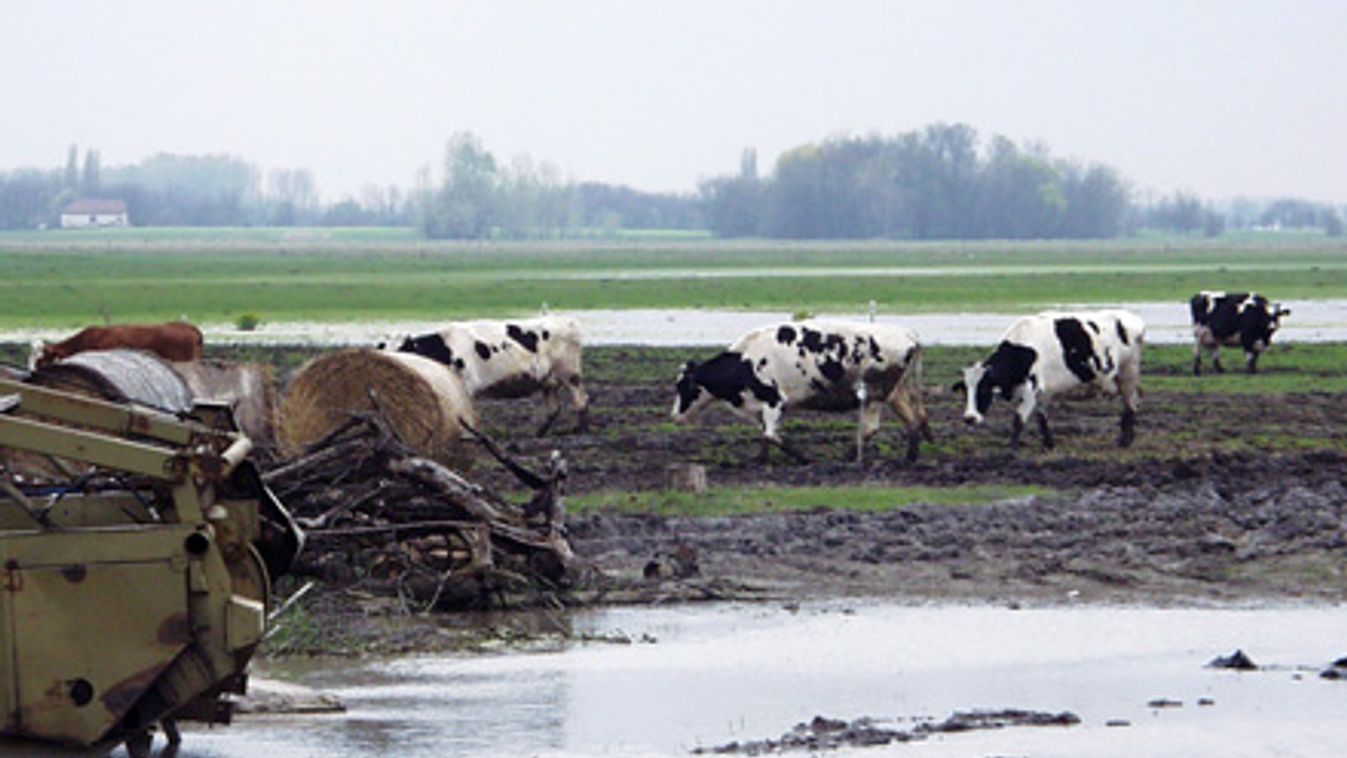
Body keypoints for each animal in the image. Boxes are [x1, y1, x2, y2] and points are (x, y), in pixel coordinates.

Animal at [382, 315, 587, 433]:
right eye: (383, 349)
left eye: (403, 349)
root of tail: (567, 321)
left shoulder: (466, 386)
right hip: (547, 380)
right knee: (554, 409)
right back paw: (539, 434)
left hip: (570, 373)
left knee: (580, 400)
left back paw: (579, 430)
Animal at [668, 319, 932, 465]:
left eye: (681, 386)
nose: (674, 416)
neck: (745, 361)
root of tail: (908, 334)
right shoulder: (761, 407)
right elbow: (765, 435)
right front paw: (759, 460)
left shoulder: (774, 400)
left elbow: (771, 435)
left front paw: (804, 458)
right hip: (895, 393)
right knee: (912, 420)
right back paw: (909, 458)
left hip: (875, 394)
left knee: (870, 428)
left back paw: (848, 456)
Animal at [953, 309, 1142, 449]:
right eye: (965, 391)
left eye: (984, 388)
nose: (969, 418)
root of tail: (1131, 316)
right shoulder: (1043, 391)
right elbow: (1041, 416)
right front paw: (1049, 444)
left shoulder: (1031, 388)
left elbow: (1018, 419)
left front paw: (1012, 449)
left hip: (1129, 371)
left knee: (1130, 404)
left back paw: (1126, 441)